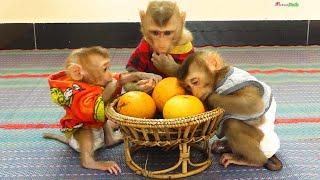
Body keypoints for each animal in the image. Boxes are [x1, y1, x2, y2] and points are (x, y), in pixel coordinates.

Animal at [43, 46, 161, 174]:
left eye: (108, 68)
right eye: (104, 69)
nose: (109, 74)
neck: (86, 82)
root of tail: (68, 141)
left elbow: (120, 78)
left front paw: (146, 75)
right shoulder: (78, 95)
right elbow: (92, 107)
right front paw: (112, 83)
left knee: (105, 125)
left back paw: (113, 137)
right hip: (78, 134)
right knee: (85, 130)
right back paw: (91, 162)